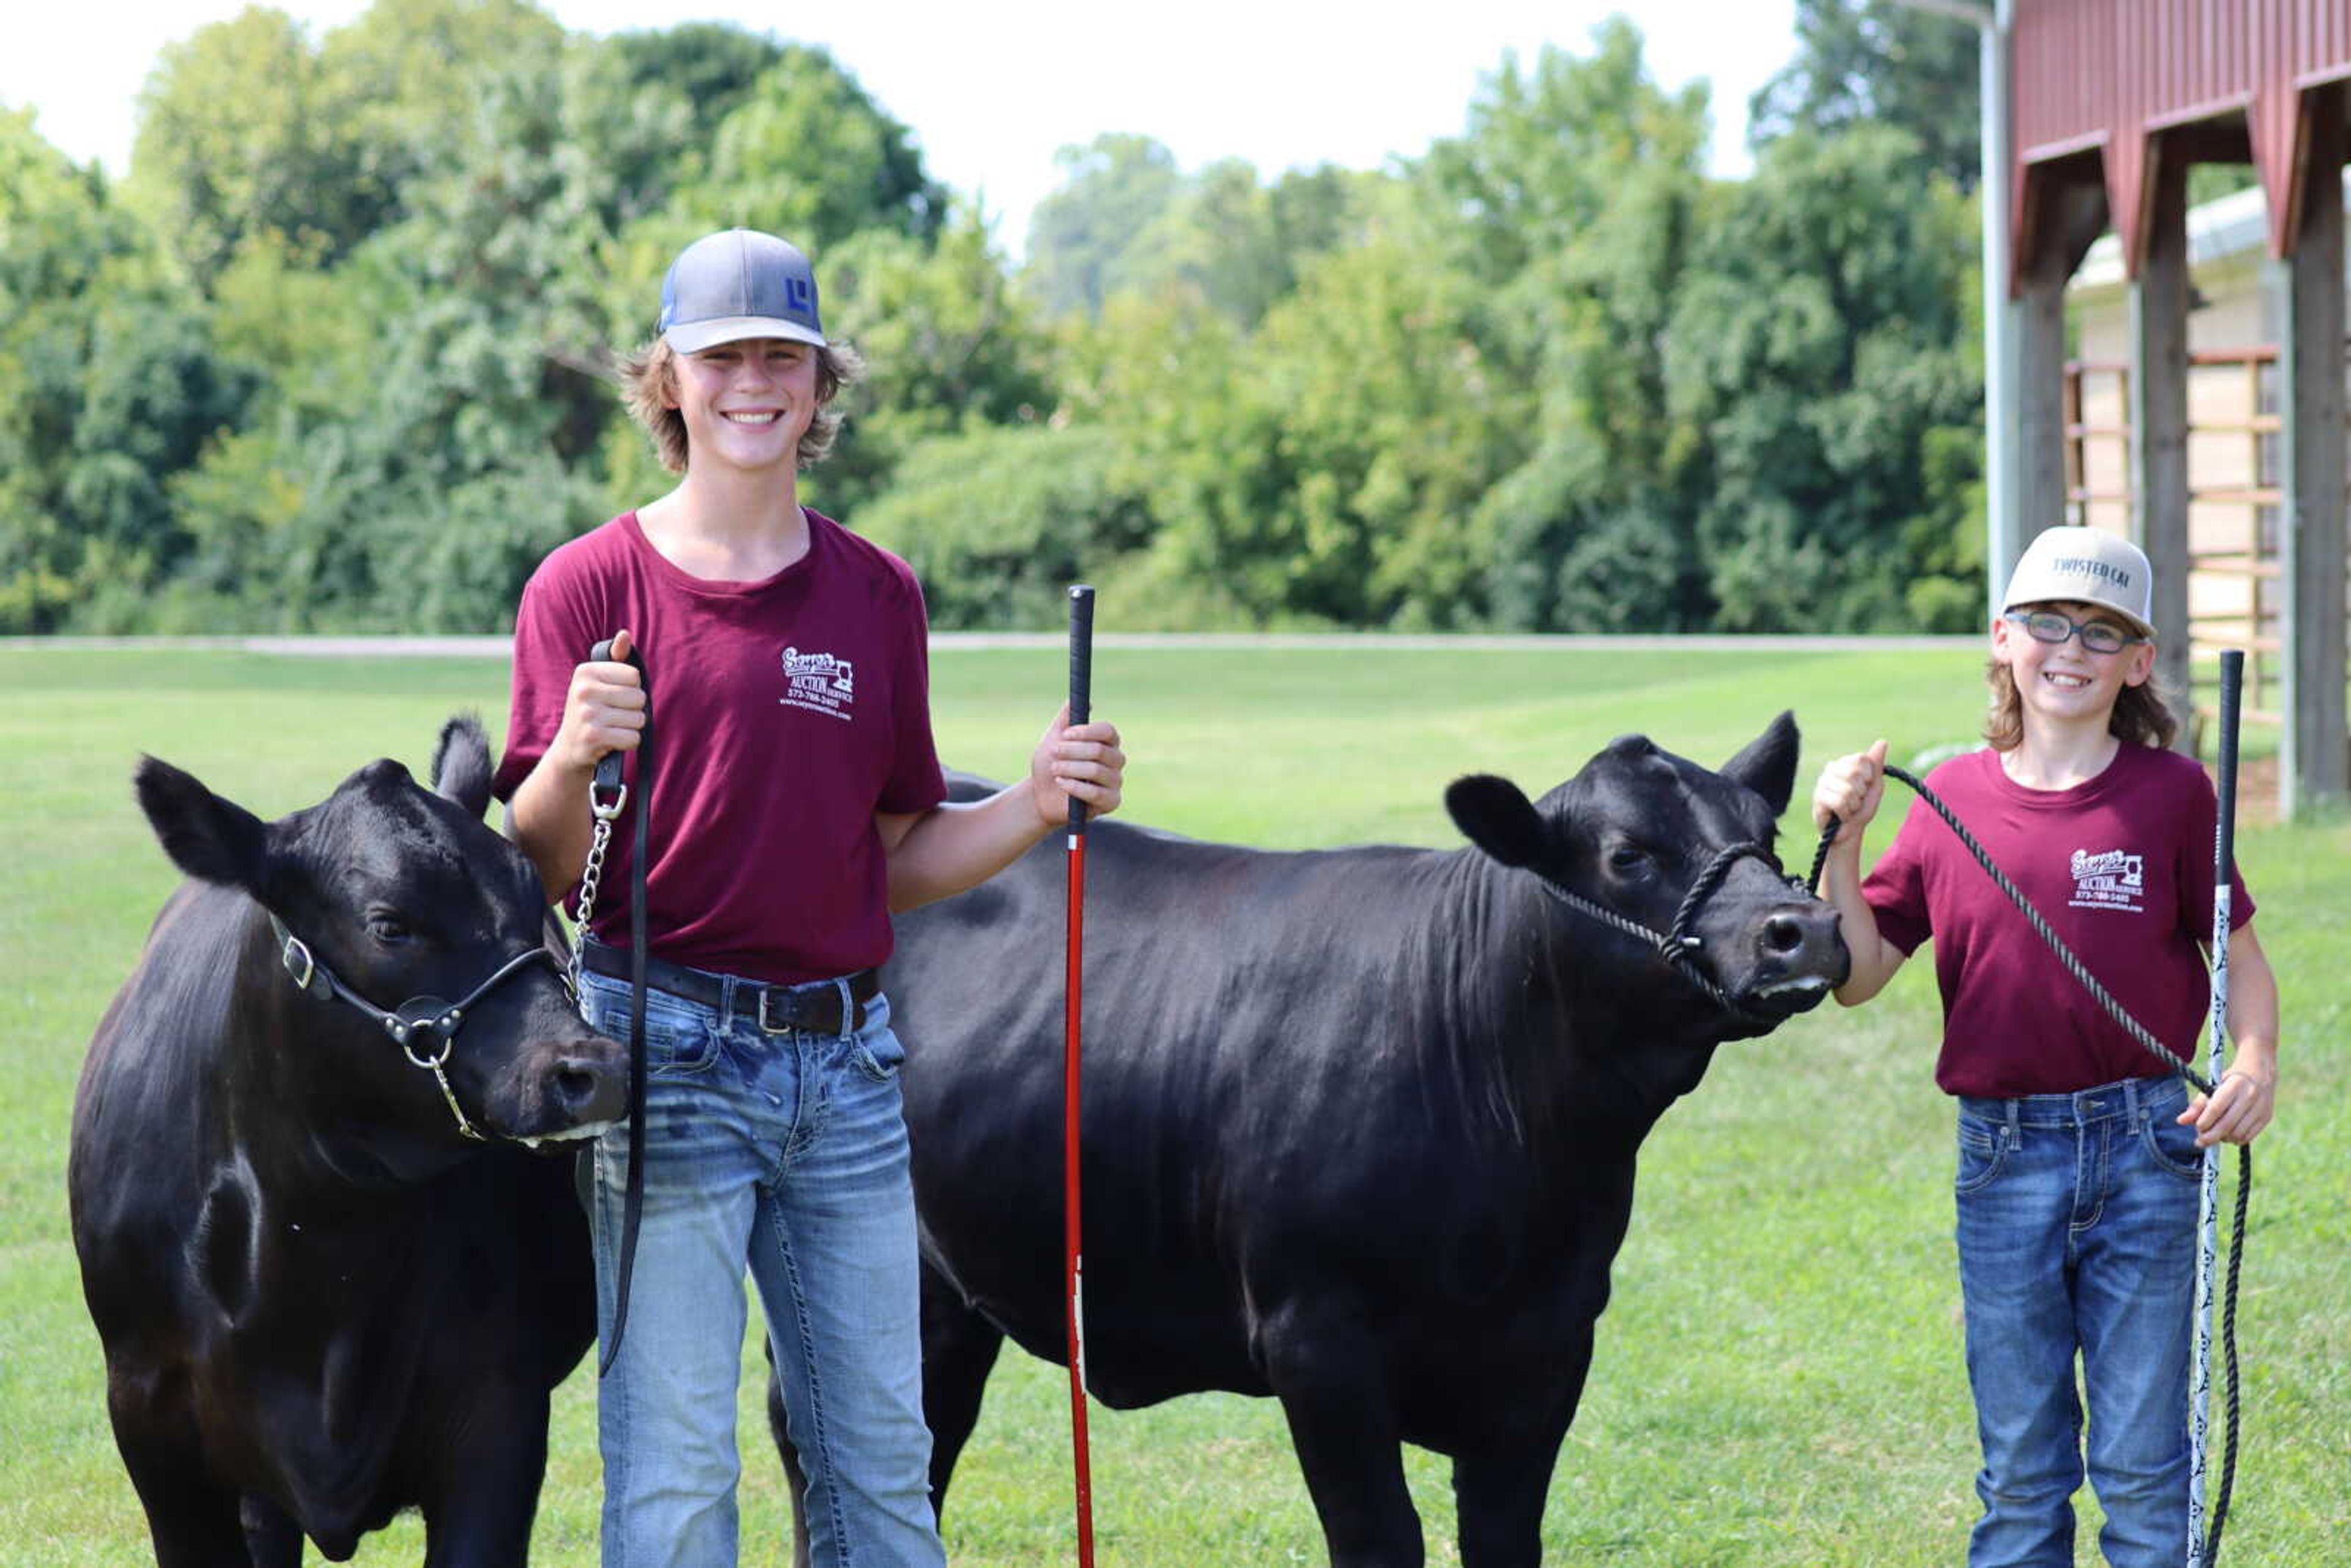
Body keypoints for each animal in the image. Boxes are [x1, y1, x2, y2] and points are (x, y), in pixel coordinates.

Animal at [879, 715, 1834, 1568]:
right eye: (1627, 853)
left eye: (1767, 833)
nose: (1806, 928)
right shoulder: (1317, 1337)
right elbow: (1382, 1540)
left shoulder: (1554, 1339)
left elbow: (1503, 1539)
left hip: (948, 1290)